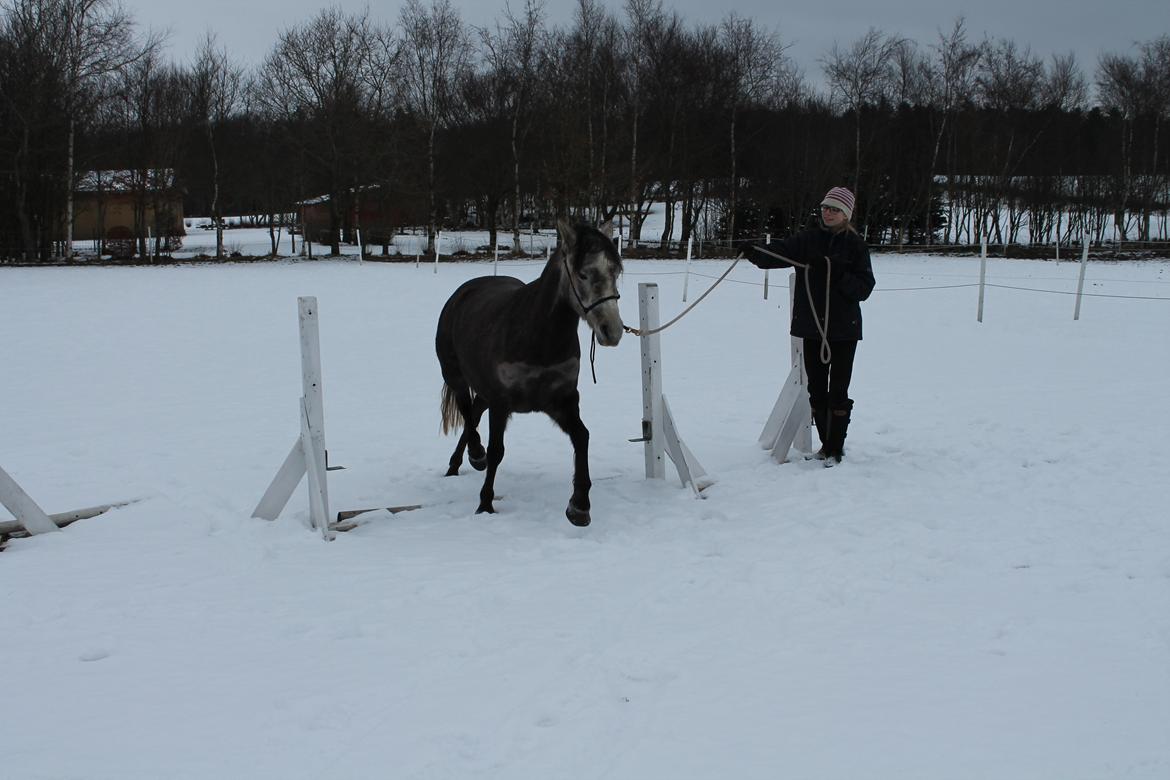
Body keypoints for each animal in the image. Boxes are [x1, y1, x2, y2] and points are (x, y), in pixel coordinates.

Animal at [437, 216, 622, 528]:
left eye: (615, 271)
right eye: (583, 274)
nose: (612, 330)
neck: (538, 336)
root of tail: (461, 293)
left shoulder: (562, 401)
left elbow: (582, 437)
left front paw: (579, 506)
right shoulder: (501, 403)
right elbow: (496, 451)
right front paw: (485, 503)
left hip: (483, 391)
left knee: (474, 412)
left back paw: (457, 463)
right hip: (456, 377)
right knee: (467, 415)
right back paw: (474, 455)